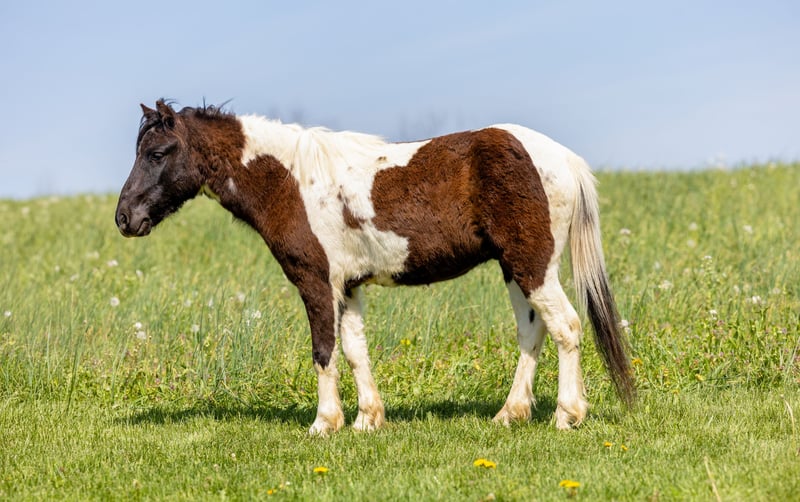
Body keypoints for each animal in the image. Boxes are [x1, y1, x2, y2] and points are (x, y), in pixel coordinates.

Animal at [116, 100, 635, 435]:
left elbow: (324, 351)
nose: (125, 218)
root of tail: (562, 158)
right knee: (532, 332)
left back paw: (567, 415)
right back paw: (511, 413)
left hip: (532, 265)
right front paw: (368, 419)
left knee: (567, 327)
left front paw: (324, 424)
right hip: (515, 268)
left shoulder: (316, 282)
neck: (291, 181)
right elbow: (354, 350)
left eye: (157, 153)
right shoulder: (348, 287)